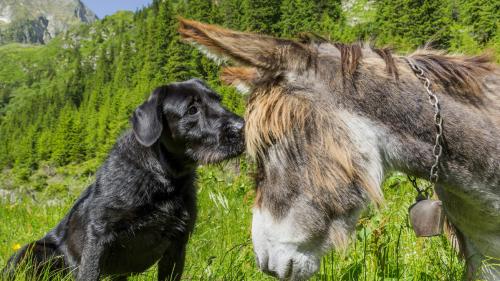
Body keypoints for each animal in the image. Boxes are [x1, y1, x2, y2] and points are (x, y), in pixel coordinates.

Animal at [2, 77, 245, 278]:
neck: (162, 178)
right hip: (30, 251)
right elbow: (89, 272)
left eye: (219, 100)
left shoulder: (177, 244)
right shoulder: (98, 237)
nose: (243, 127)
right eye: (192, 109)